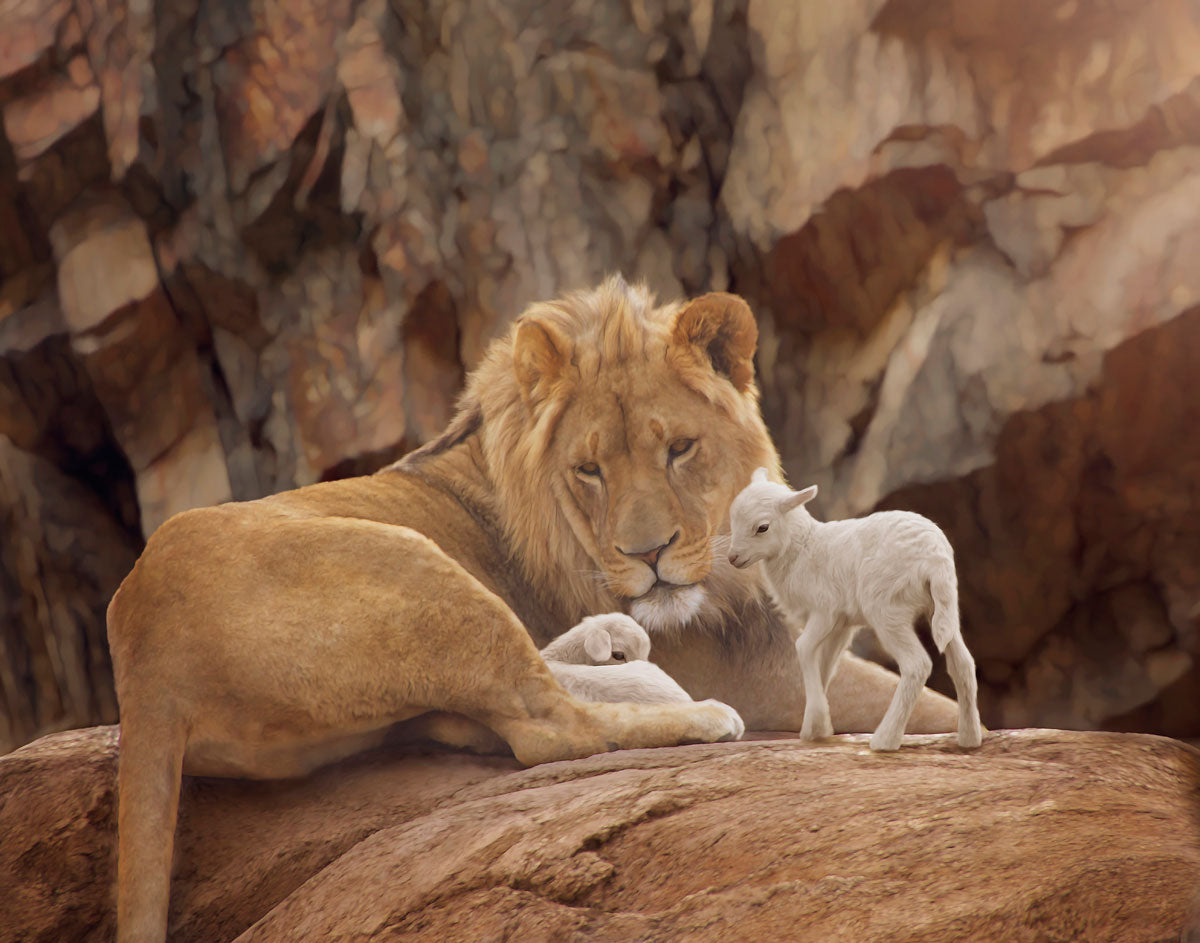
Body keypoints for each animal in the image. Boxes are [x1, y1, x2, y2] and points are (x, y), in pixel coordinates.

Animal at [727, 468, 982, 751]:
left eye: (762, 527)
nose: (733, 558)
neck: (802, 548)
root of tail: (935, 558)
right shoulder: (841, 624)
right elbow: (826, 664)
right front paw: (816, 727)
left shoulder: (824, 611)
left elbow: (803, 648)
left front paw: (816, 722)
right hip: (943, 606)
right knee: (963, 663)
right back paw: (969, 738)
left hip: (887, 609)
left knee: (917, 665)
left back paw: (885, 740)